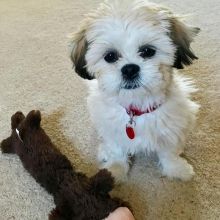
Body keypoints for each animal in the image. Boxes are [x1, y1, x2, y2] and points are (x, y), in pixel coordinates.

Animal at [70, 0, 199, 181]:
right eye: (110, 56)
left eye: (148, 51)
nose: (130, 69)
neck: (137, 106)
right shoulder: (112, 129)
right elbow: (117, 150)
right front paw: (115, 171)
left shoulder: (175, 124)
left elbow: (169, 151)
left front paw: (176, 169)